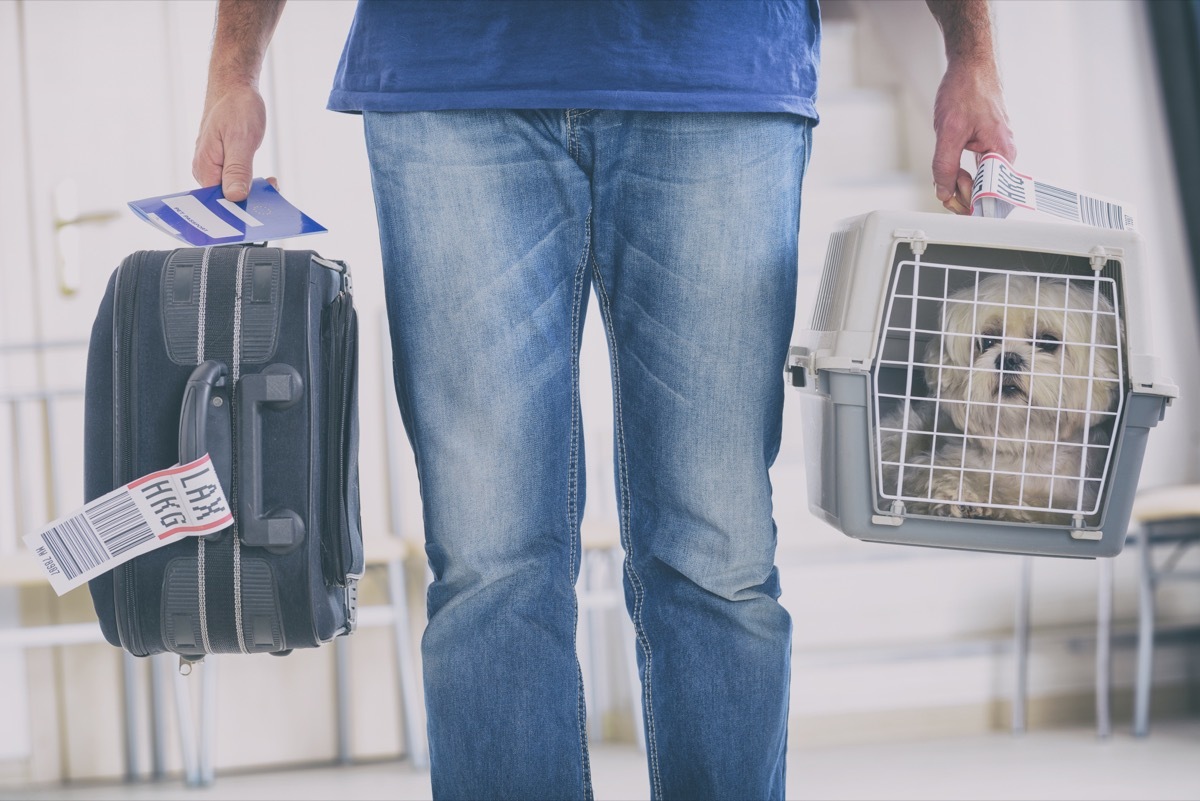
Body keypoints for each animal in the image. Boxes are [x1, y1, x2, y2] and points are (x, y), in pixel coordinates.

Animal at [878, 273, 1118, 525]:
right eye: (988, 341)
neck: (1021, 442)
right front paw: (961, 495)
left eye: (1048, 341)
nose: (1008, 359)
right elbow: (935, 474)